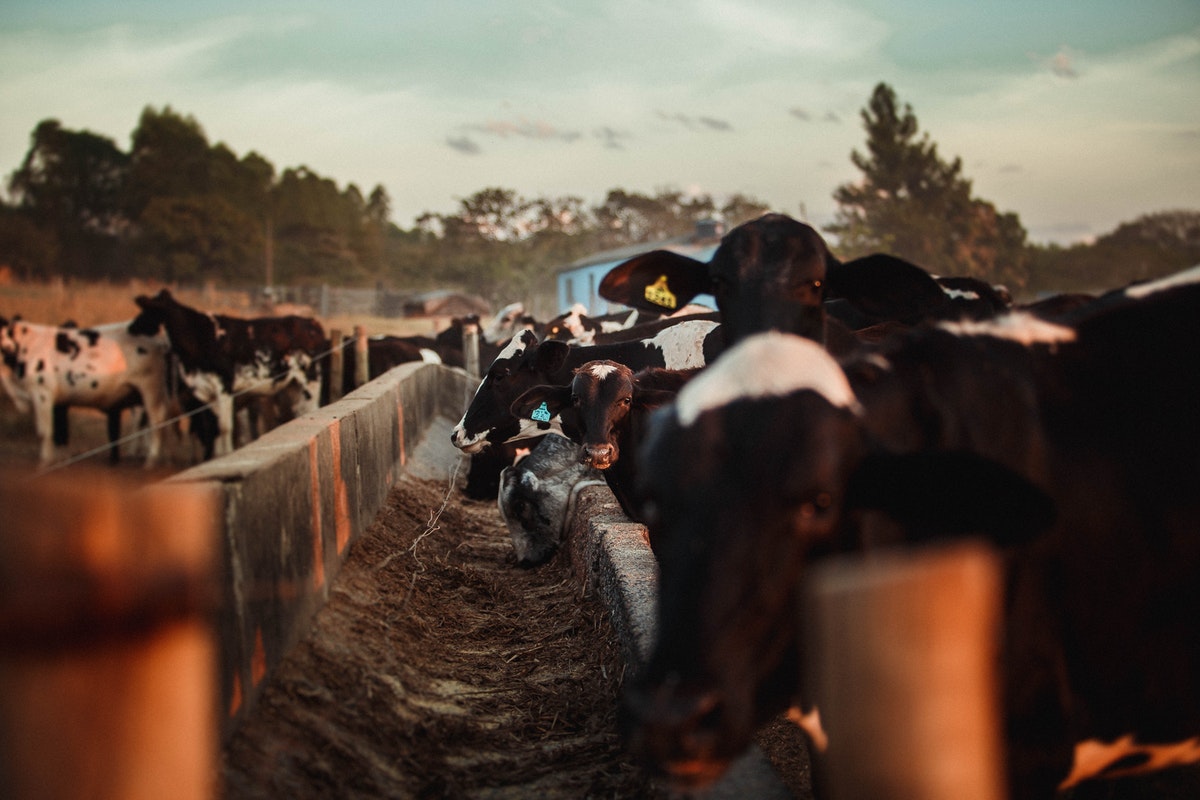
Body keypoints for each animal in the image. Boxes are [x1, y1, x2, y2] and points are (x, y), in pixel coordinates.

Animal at [130, 291, 328, 460]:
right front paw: (217, 455)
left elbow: (226, 427)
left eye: (147, 310)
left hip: (311, 378)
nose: (131, 327)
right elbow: (217, 427)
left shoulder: (224, 387)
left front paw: (226, 453)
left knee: (311, 407)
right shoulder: (208, 392)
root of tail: (312, 322)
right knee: (300, 410)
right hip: (293, 384)